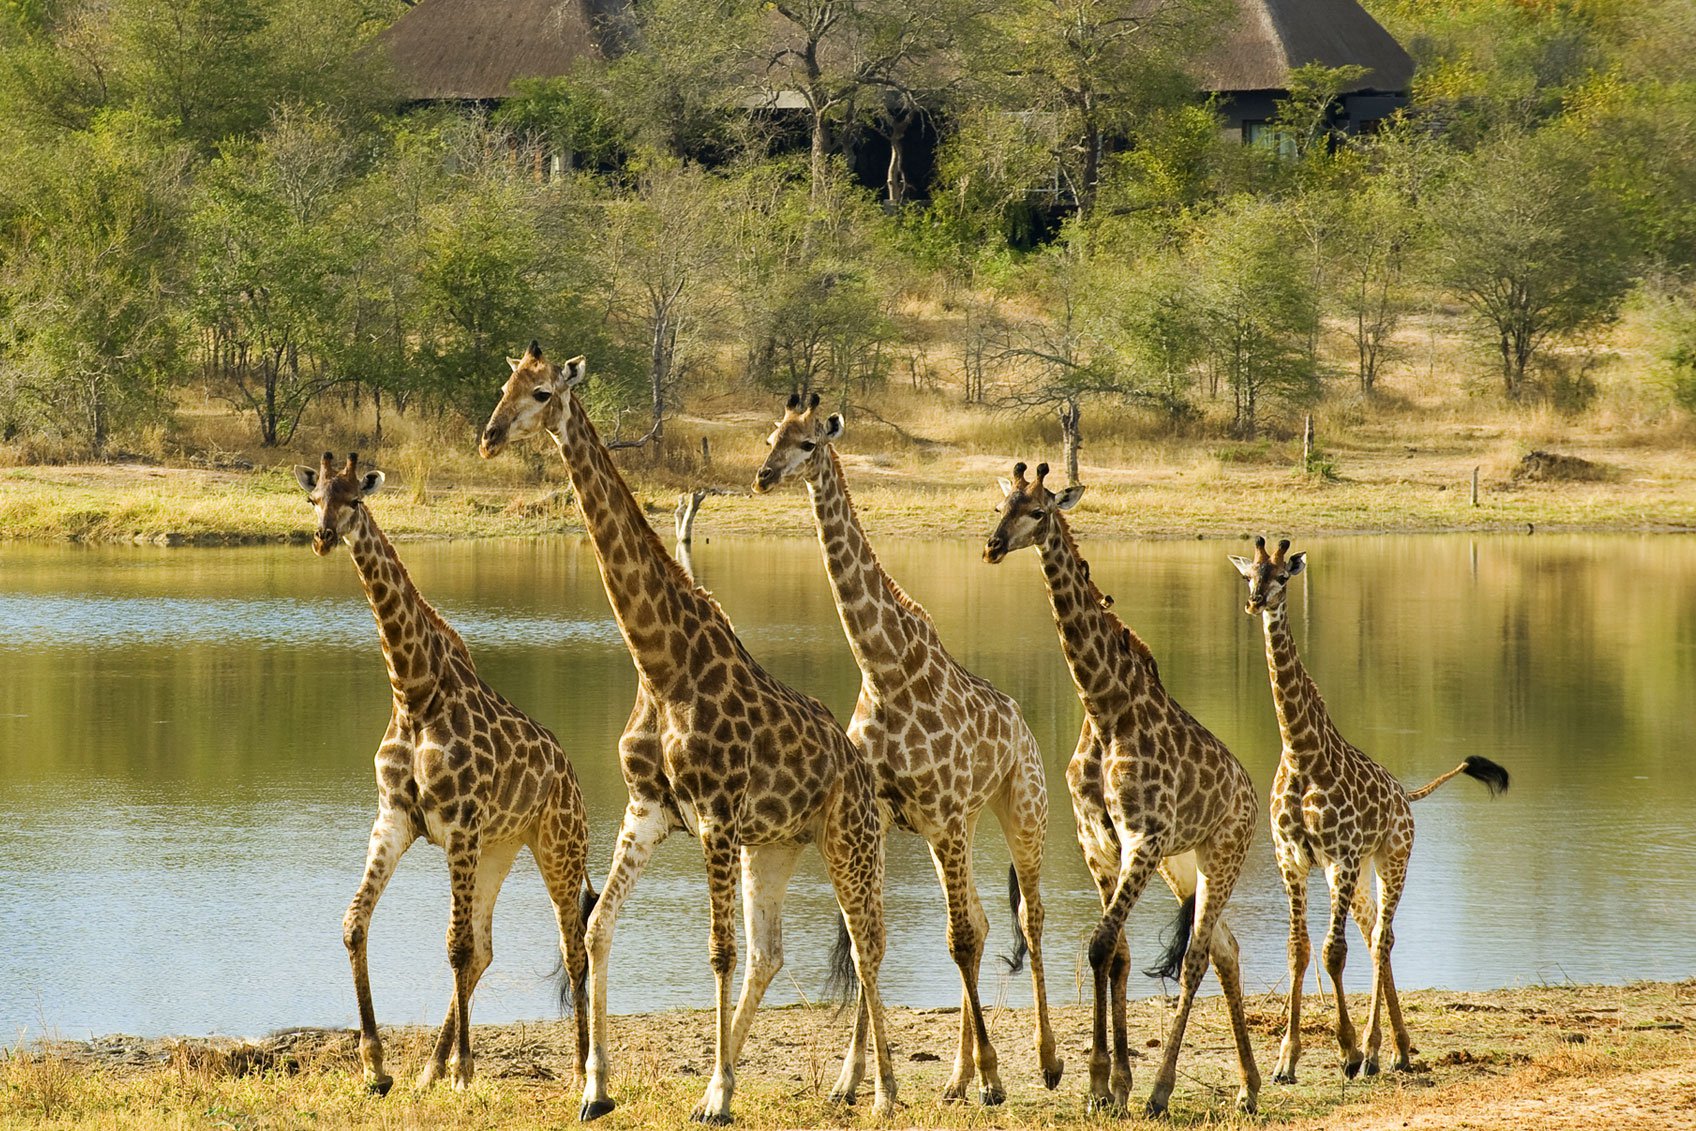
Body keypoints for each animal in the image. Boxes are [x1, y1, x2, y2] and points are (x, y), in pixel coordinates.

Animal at [293, 451, 593, 1094]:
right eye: (314, 499)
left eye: (355, 499)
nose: (324, 537)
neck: (413, 692)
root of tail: (571, 774)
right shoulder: (395, 819)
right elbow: (355, 923)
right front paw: (377, 1066)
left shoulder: (457, 825)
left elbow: (452, 946)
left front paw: (464, 1069)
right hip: (501, 847)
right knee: (486, 948)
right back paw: (431, 1067)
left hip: (557, 845)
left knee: (572, 946)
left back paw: (583, 1067)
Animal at [479, 344, 896, 1124]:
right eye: (506, 384)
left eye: (543, 393)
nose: (489, 435)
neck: (660, 663)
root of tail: (862, 773)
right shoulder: (650, 807)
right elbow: (597, 928)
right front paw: (596, 1089)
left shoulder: (715, 815)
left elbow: (717, 952)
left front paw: (721, 1096)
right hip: (777, 846)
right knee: (774, 953)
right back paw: (748, 1083)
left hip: (847, 839)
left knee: (867, 943)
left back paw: (878, 1090)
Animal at [752, 393, 1063, 1104]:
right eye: (772, 433)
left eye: (809, 444)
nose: (764, 476)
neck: (883, 667)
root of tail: (1023, 725)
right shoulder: (884, 815)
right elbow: (871, 939)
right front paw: (849, 1081)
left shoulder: (941, 815)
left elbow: (956, 938)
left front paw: (995, 1077)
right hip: (960, 825)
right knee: (982, 921)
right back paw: (957, 1077)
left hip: (1020, 810)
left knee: (1024, 918)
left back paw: (1044, 1063)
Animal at [984, 462, 1262, 1117]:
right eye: (1003, 505)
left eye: (1038, 512)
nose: (993, 546)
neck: (1106, 710)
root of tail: (1250, 792)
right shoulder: (1100, 842)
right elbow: (1114, 952)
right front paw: (1107, 1086)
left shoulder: (1142, 838)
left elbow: (1101, 944)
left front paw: (1106, 1084)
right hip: (1185, 864)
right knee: (1226, 948)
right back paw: (1248, 1087)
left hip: (1223, 854)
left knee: (1197, 956)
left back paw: (1163, 1090)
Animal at [1230, 536, 1511, 1082]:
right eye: (1250, 574)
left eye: (1283, 576)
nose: (1255, 603)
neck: (1301, 753)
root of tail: (1405, 795)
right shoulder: (1292, 859)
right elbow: (1299, 951)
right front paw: (1286, 1061)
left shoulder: (1339, 856)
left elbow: (1331, 952)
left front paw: (1346, 1051)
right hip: (1358, 872)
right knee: (1374, 936)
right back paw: (1394, 1049)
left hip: (1390, 858)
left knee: (1382, 938)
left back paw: (1379, 1049)